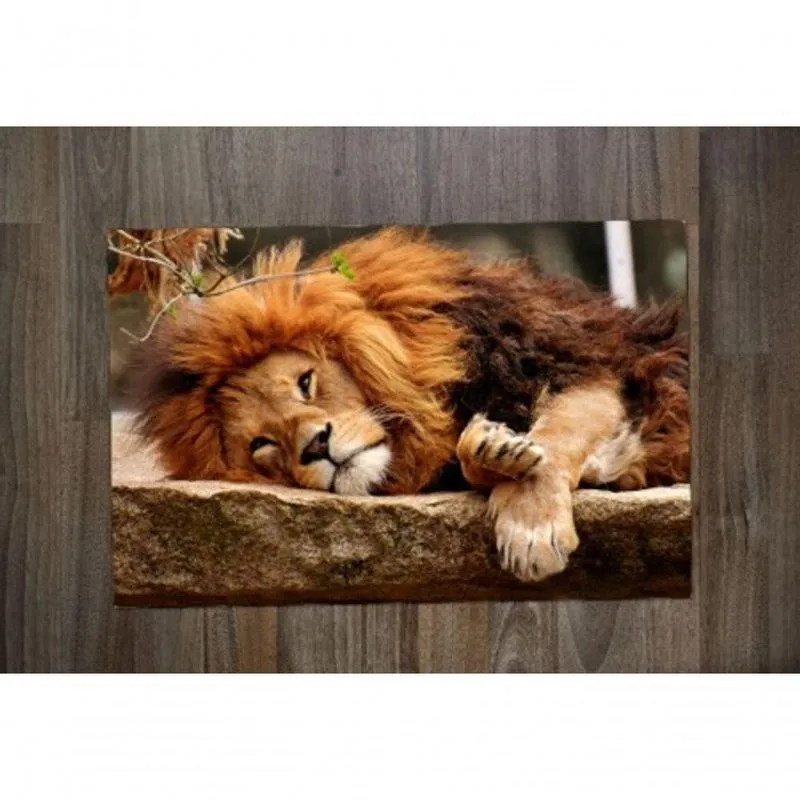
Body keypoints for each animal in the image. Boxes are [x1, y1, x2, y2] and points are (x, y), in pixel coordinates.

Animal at [128, 227, 689, 582]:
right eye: (261, 445)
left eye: (305, 382)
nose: (316, 446)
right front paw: (492, 449)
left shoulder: (595, 364)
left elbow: (559, 435)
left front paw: (529, 531)